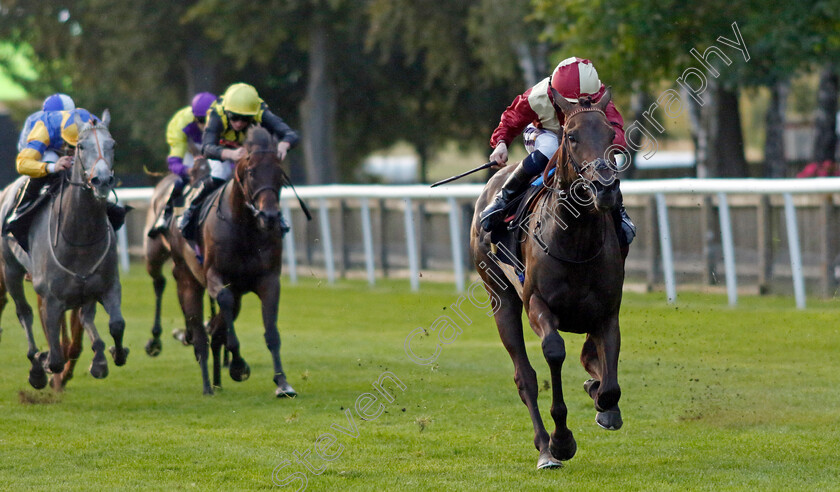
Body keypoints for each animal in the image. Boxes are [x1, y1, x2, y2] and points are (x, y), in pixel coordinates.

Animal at [0, 110, 128, 388]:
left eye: (113, 144)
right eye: (81, 146)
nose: (101, 181)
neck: (80, 237)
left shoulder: (108, 285)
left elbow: (117, 324)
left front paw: (114, 352)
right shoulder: (51, 298)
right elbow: (56, 356)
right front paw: (44, 363)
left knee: (86, 316)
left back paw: (99, 356)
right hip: (10, 269)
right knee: (24, 313)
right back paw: (36, 363)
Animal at [167, 126, 296, 396]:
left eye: (279, 173)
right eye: (251, 172)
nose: (269, 216)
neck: (244, 228)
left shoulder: (269, 280)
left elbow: (271, 332)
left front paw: (282, 383)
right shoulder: (215, 276)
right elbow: (223, 309)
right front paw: (238, 365)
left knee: (215, 330)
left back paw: (217, 381)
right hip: (187, 280)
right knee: (200, 333)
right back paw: (207, 385)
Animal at [472, 88, 624, 468]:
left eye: (611, 135)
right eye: (571, 136)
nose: (605, 188)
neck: (576, 242)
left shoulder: (607, 311)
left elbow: (609, 382)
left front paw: (603, 401)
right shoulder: (536, 304)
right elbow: (554, 352)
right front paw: (562, 441)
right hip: (500, 298)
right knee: (524, 377)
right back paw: (545, 449)